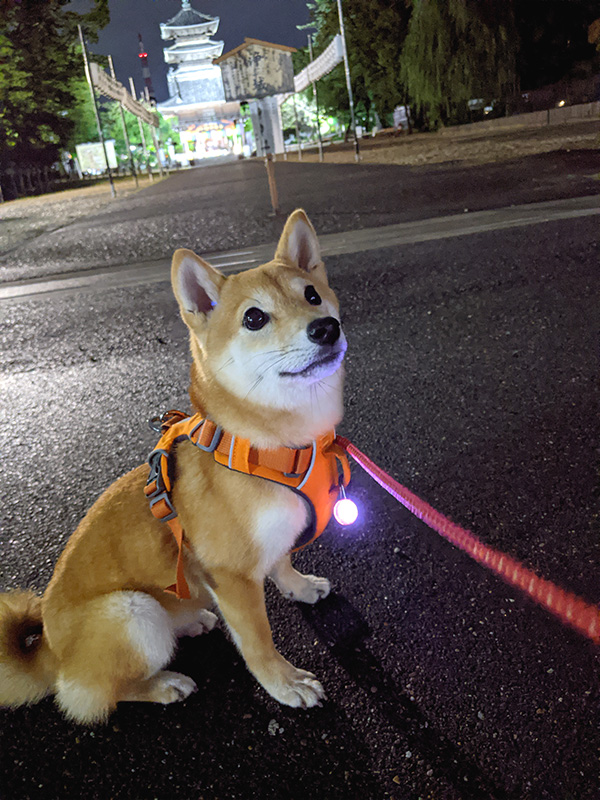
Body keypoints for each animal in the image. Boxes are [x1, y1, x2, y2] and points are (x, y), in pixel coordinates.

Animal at [0, 209, 346, 720]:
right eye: (254, 317)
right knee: (89, 695)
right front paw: (284, 683)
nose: (325, 328)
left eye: (312, 295)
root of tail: (48, 651)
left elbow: (282, 561)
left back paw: (191, 621)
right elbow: (258, 643)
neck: (269, 446)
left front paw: (299, 587)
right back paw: (163, 685)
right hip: (132, 613)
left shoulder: (277, 533)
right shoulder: (231, 576)